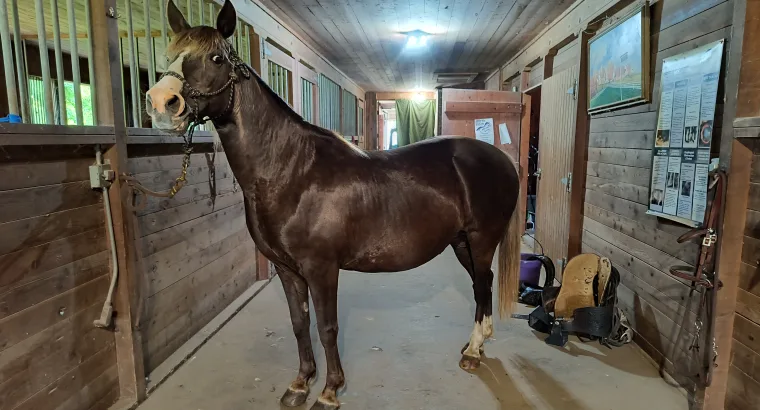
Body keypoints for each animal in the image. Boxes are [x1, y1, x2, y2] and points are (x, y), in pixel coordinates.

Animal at [145, 2, 521, 409]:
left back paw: (473, 352)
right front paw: (300, 384)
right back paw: (475, 346)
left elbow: (327, 327)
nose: (161, 104)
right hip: (461, 241)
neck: (291, 170)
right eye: (168, 55)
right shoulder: (286, 269)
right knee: (482, 284)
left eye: (216, 57)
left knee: (482, 285)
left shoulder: (321, 268)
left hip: (482, 240)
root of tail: (501, 158)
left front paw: (328, 391)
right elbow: (299, 324)